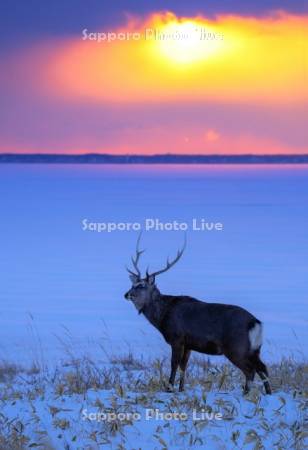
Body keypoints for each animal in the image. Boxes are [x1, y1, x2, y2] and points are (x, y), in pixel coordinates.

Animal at [124, 236, 270, 394]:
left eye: (141, 286)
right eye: (132, 285)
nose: (126, 294)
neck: (162, 317)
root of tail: (255, 323)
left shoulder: (177, 338)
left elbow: (174, 364)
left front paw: (169, 389)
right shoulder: (189, 344)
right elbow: (183, 367)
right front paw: (181, 389)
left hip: (236, 346)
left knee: (250, 370)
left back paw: (245, 394)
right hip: (254, 349)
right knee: (263, 368)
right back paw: (268, 393)